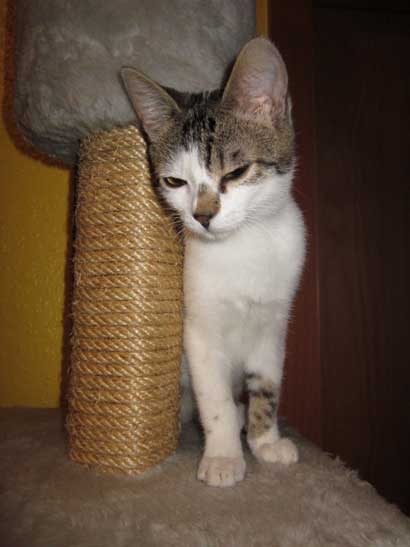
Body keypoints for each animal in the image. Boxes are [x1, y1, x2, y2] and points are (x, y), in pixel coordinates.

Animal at [121, 37, 306, 487]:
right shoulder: (199, 331)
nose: (202, 216)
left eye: (236, 172)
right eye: (174, 181)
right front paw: (223, 456)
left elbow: (267, 385)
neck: (243, 245)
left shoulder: (273, 325)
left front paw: (265, 440)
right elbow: (215, 396)